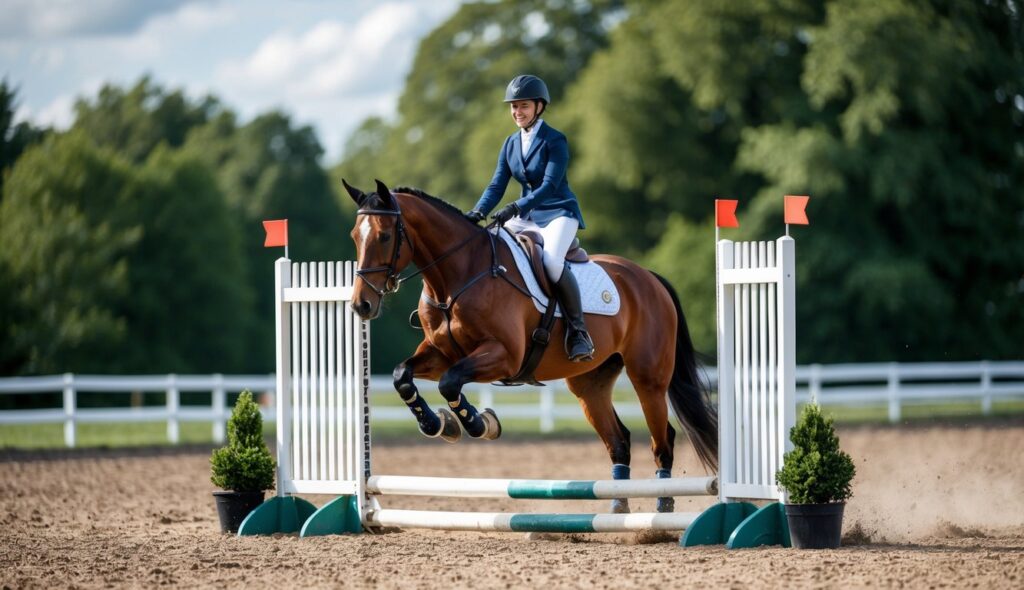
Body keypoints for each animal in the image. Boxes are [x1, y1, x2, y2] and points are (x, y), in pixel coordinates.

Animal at [339, 178, 716, 512]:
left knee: (662, 439)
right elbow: (403, 376)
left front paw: (480, 424)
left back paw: (662, 507)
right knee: (619, 440)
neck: (455, 278)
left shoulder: (503, 356)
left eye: (385, 236)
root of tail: (649, 277)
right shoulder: (441, 354)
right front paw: (437, 424)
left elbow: (450, 383)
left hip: (648, 378)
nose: (361, 305)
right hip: (589, 384)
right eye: (355, 236)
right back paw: (618, 506)